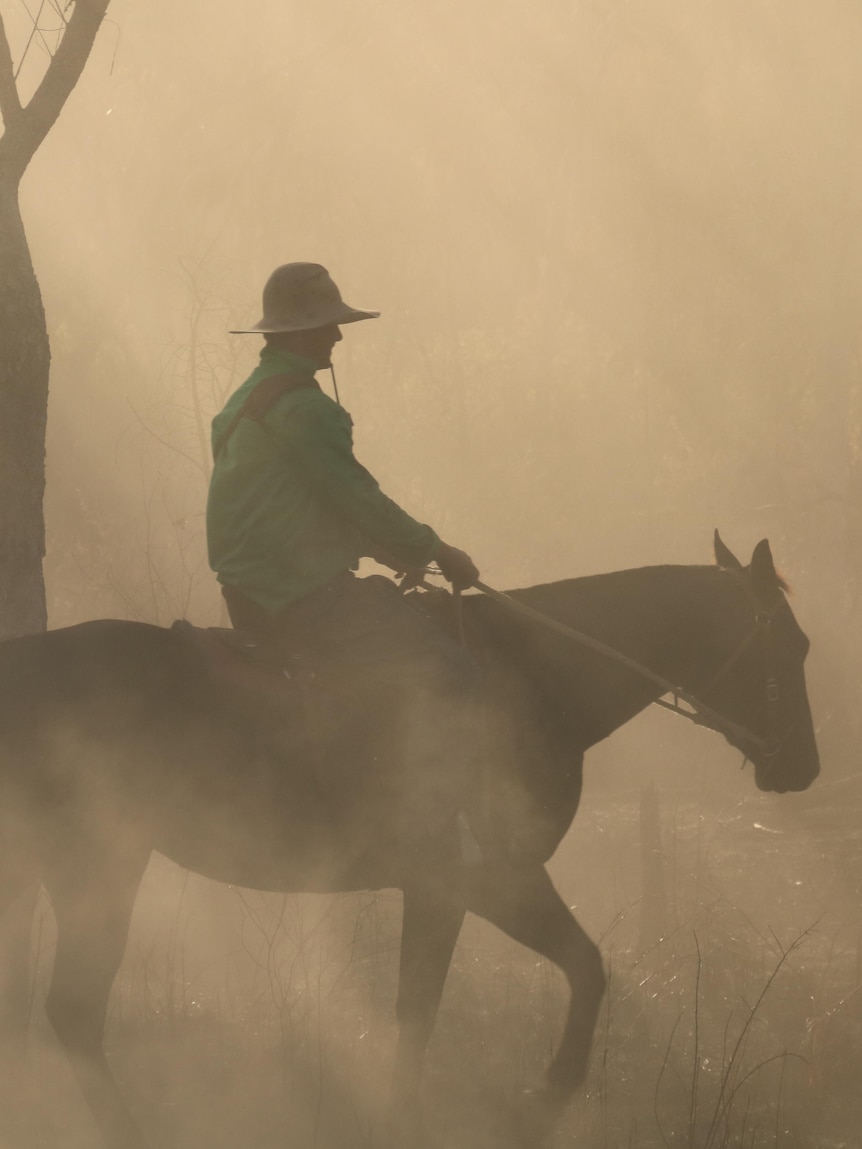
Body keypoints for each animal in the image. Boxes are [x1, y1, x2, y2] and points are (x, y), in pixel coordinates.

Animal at [0, 533, 818, 1144]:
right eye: (790, 643)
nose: (805, 765)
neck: (537, 679)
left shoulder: (448, 891)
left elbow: (429, 1005)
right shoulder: (485, 881)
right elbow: (569, 973)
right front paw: (535, 1106)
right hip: (97, 864)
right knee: (75, 1009)